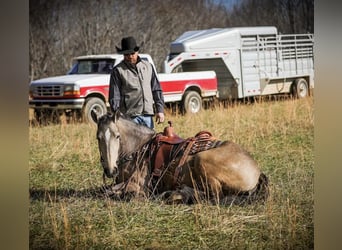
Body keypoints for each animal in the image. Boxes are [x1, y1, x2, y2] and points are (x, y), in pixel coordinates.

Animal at [92, 110, 268, 204]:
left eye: (117, 136)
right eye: (98, 137)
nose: (110, 170)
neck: (138, 149)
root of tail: (257, 171)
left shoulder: (138, 185)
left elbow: (113, 192)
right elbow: (105, 189)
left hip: (202, 160)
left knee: (214, 196)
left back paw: (178, 194)